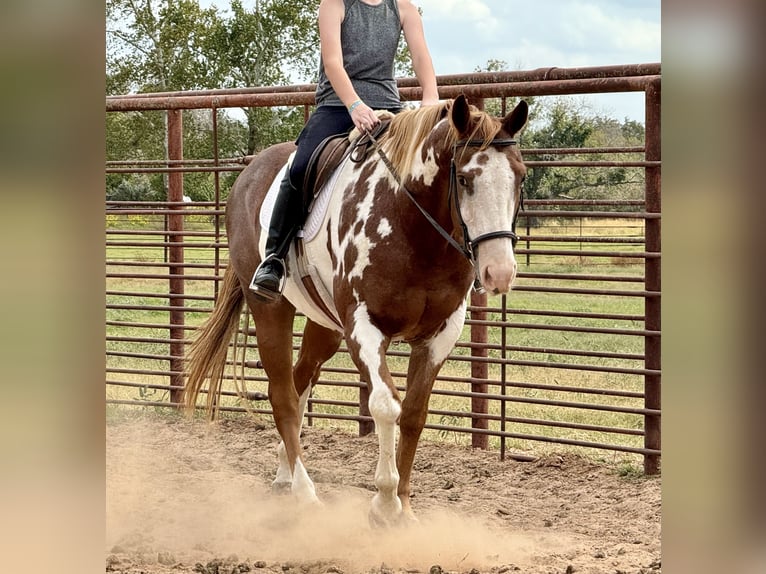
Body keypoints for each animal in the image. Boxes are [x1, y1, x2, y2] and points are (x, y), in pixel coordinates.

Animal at [185, 97, 532, 528]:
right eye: (466, 179)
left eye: (520, 176)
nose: (499, 272)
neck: (411, 225)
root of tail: (248, 173)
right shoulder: (364, 327)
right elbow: (384, 405)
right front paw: (384, 504)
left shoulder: (440, 334)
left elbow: (414, 413)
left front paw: (405, 507)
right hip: (272, 311)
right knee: (283, 395)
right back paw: (305, 493)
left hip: (324, 326)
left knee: (299, 384)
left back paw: (285, 474)